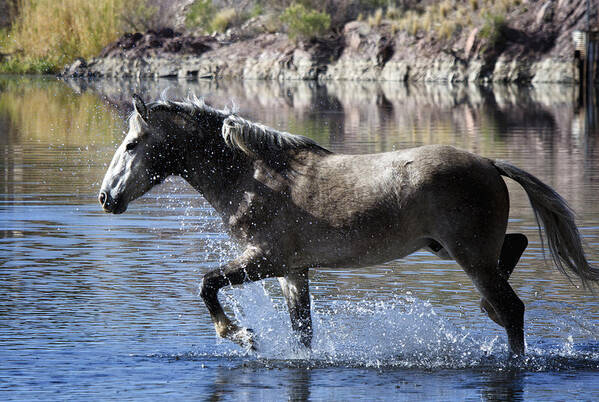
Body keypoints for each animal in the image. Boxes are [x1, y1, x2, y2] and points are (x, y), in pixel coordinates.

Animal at [99, 95, 599, 358]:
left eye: (132, 144)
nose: (106, 198)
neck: (251, 175)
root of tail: (489, 163)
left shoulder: (265, 259)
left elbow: (206, 284)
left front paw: (241, 335)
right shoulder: (293, 271)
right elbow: (302, 332)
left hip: (468, 252)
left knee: (513, 308)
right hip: (455, 248)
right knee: (515, 248)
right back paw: (486, 309)